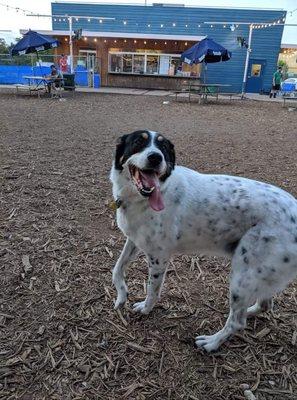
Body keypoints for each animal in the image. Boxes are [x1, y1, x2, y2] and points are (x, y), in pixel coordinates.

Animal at [109, 130, 296, 352]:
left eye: (163, 148)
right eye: (139, 141)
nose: (155, 158)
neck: (144, 197)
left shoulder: (159, 256)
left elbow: (152, 290)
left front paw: (145, 309)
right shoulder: (134, 240)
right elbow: (117, 268)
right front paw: (121, 295)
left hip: (242, 276)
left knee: (237, 322)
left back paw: (212, 342)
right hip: (260, 274)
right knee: (264, 305)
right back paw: (249, 311)